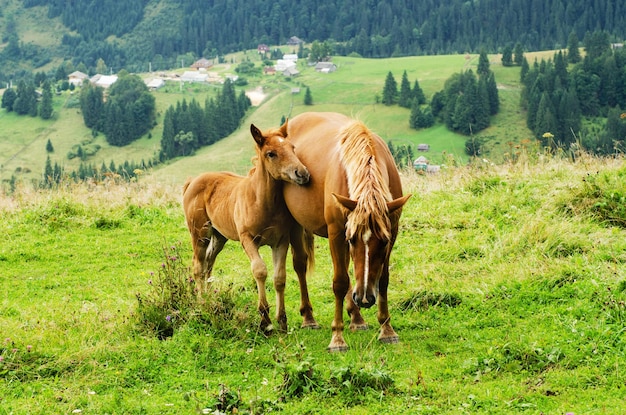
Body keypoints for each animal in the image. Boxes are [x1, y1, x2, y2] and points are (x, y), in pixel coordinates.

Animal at [180, 122, 316, 334]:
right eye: (270, 153)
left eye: (292, 148)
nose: (302, 174)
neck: (262, 202)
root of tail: (192, 181)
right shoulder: (247, 240)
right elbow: (259, 271)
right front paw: (265, 320)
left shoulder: (280, 242)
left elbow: (279, 277)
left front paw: (282, 321)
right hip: (200, 235)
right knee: (198, 266)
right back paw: (202, 304)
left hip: (219, 237)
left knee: (209, 262)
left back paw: (210, 300)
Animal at [282, 112, 410, 352]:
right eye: (352, 239)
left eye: (384, 242)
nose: (365, 298)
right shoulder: (337, 234)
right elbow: (340, 282)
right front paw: (337, 338)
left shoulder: (393, 231)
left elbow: (383, 279)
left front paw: (387, 329)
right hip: (295, 224)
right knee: (300, 265)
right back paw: (309, 318)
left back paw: (357, 318)